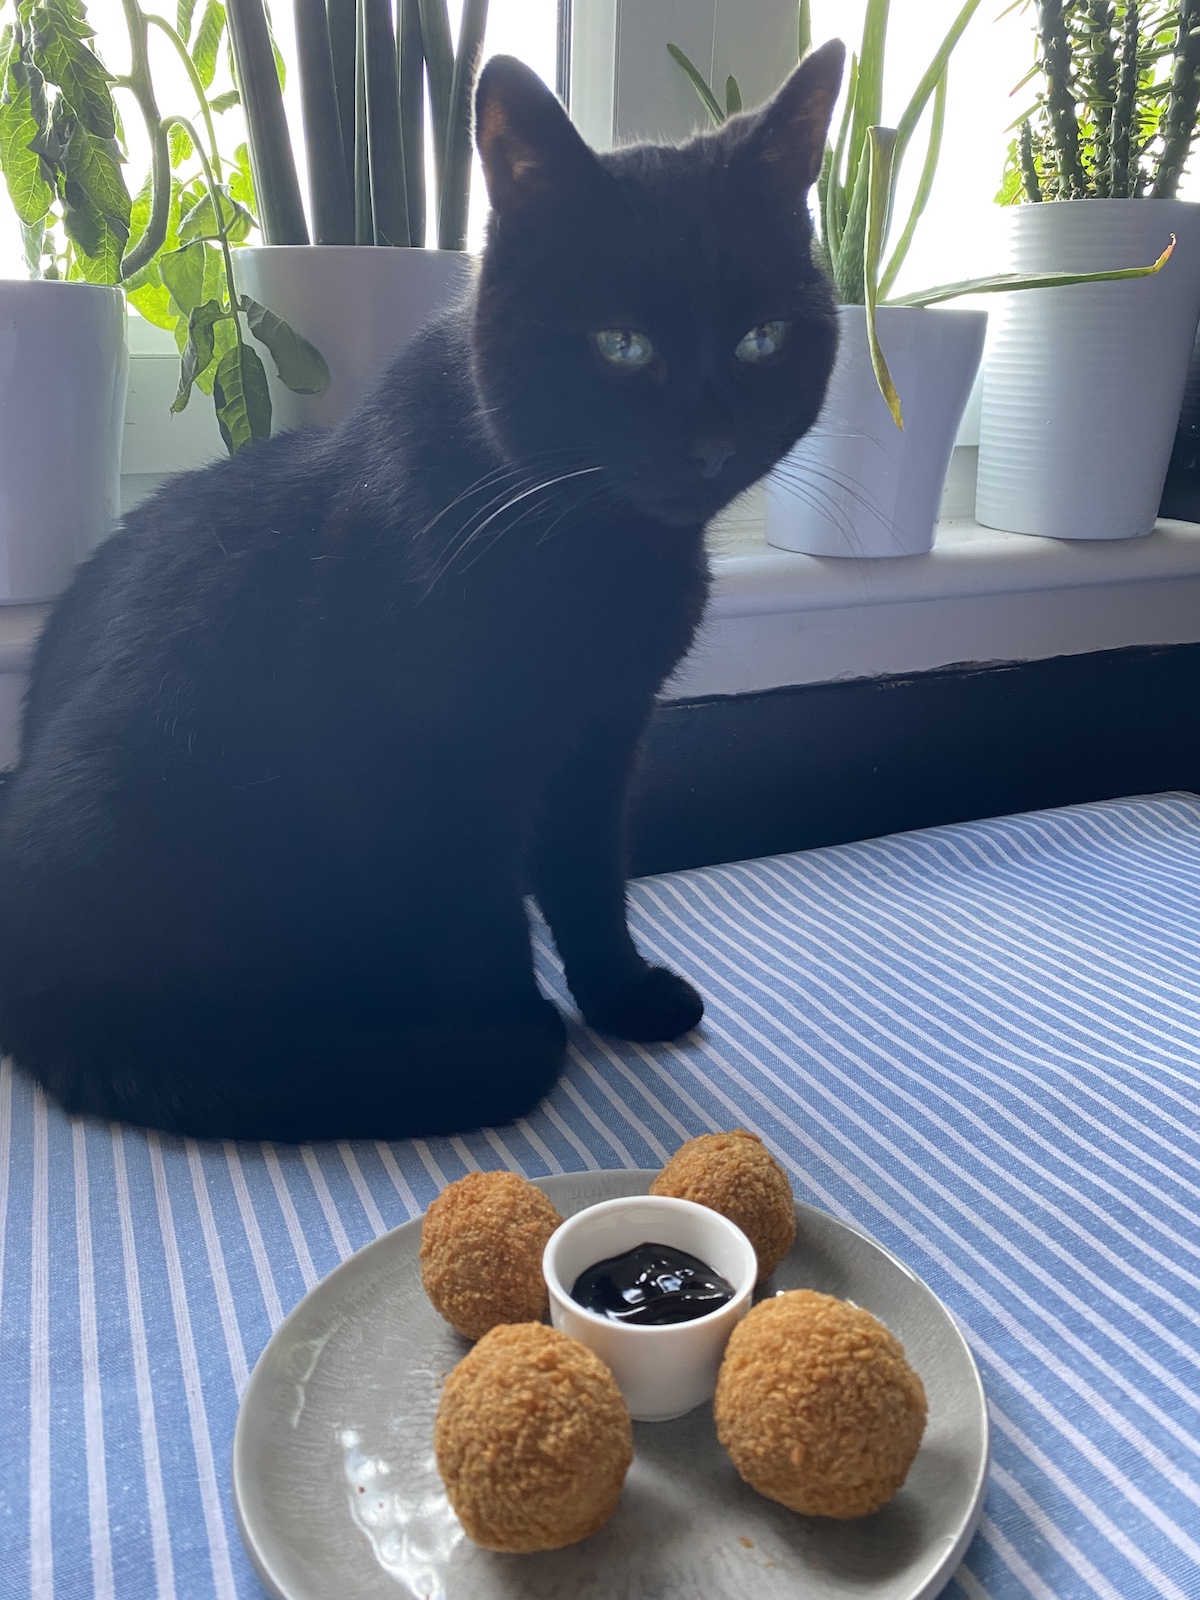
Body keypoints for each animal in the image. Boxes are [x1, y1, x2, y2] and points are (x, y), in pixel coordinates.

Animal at [0, 46, 844, 1139]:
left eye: (761, 340)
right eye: (621, 345)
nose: (708, 449)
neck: (593, 548)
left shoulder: (601, 738)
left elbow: (588, 875)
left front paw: (620, 996)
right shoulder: (428, 766)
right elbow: (475, 912)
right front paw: (511, 1034)